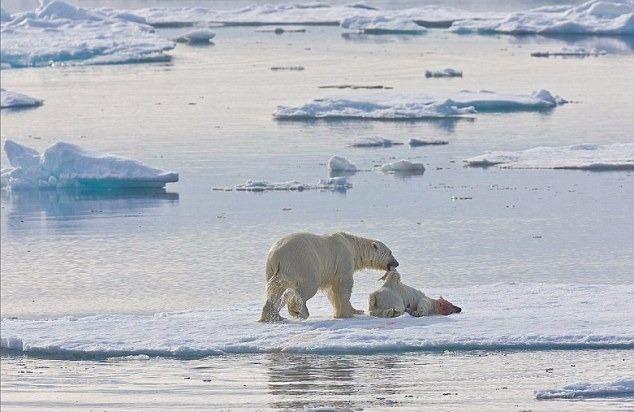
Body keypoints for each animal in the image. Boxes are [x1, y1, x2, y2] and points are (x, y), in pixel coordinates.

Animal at [256, 232, 396, 322]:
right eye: (390, 253)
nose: (396, 263)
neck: (352, 246)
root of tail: (276, 256)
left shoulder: (331, 271)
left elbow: (332, 291)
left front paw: (348, 311)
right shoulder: (343, 261)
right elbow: (344, 287)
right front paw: (350, 312)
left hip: (271, 270)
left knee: (276, 290)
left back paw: (273, 316)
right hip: (302, 264)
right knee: (305, 289)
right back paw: (300, 311)